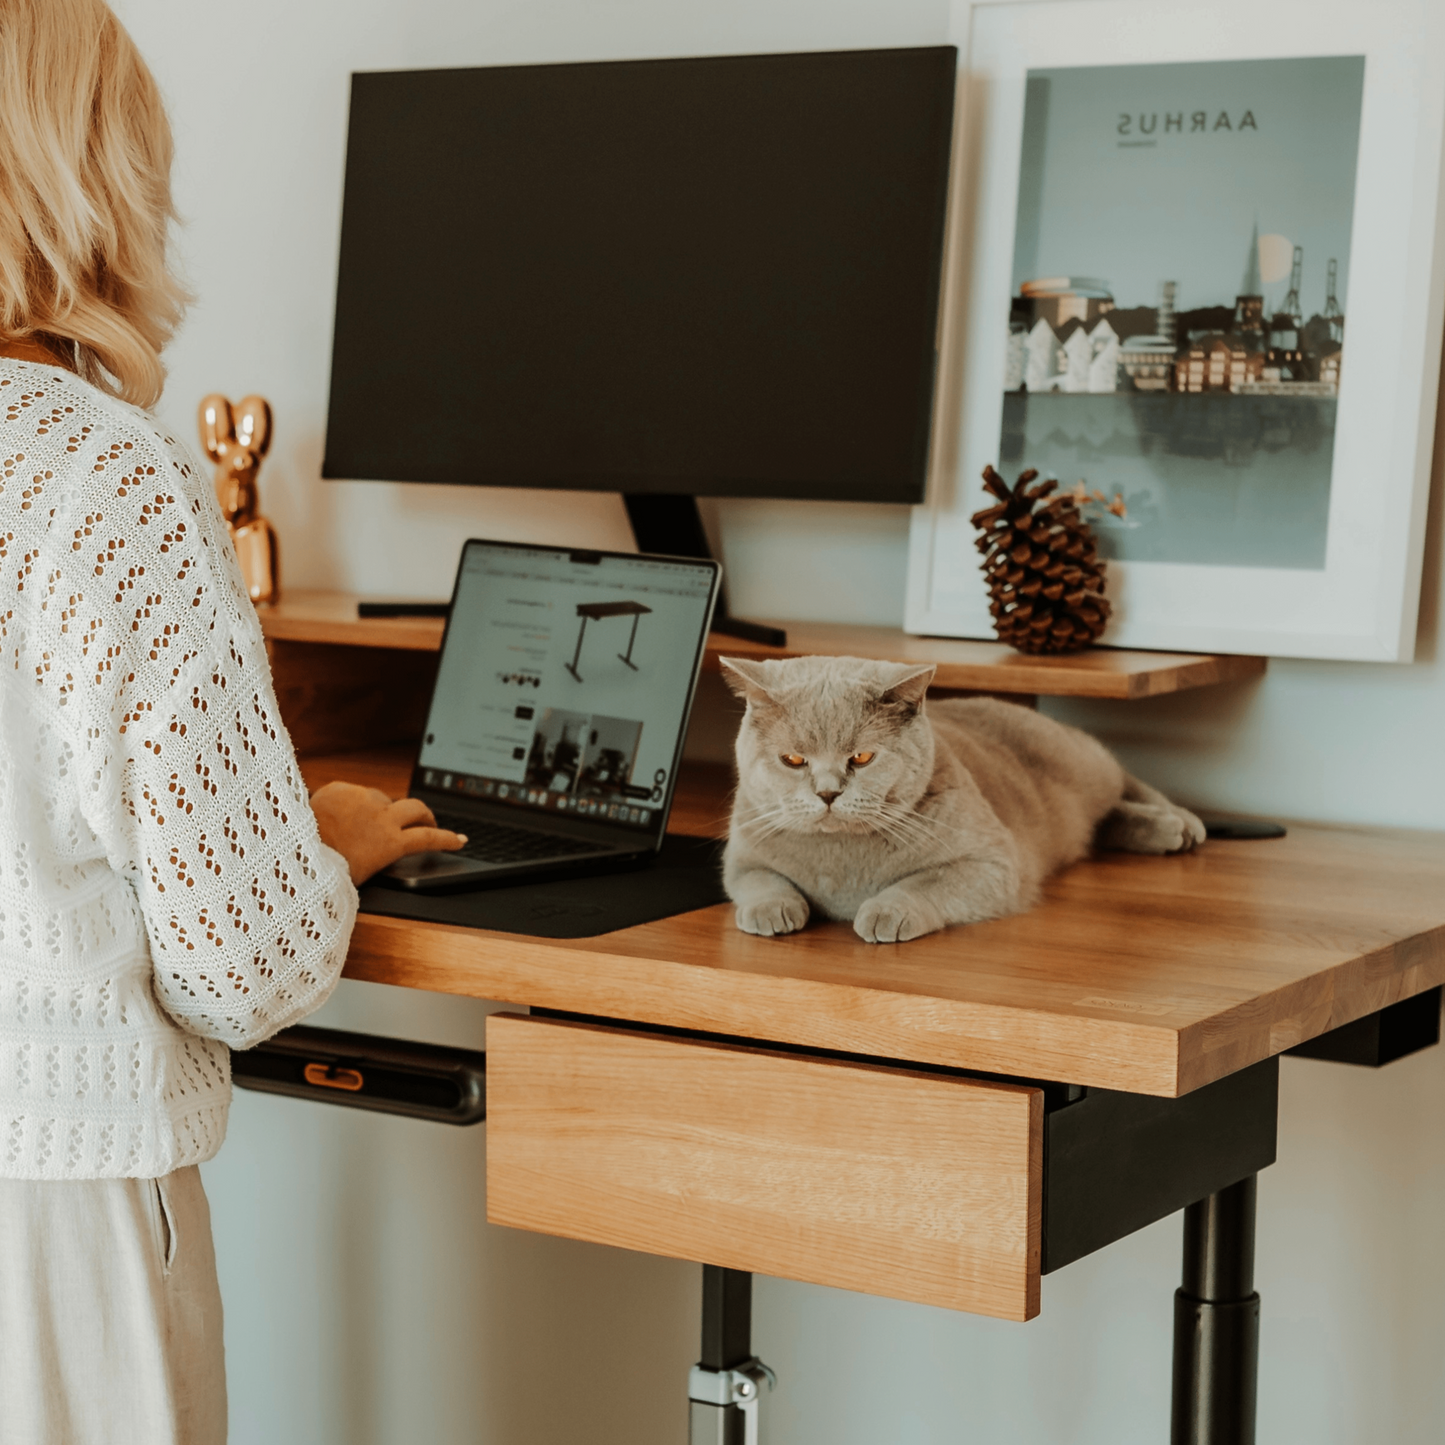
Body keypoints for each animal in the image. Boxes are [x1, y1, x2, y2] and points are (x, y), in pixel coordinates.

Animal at [722, 658, 1208, 947]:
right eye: (793, 760)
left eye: (861, 757)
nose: (827, 792)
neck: (842, 863)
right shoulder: (742, 854)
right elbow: (759, 881)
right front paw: (770, 910)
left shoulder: (992, 863)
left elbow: (924, 883)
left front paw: (885, 911)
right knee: (1102, 826)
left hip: (1085, 765)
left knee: (1123, 778)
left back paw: (1181, 824)